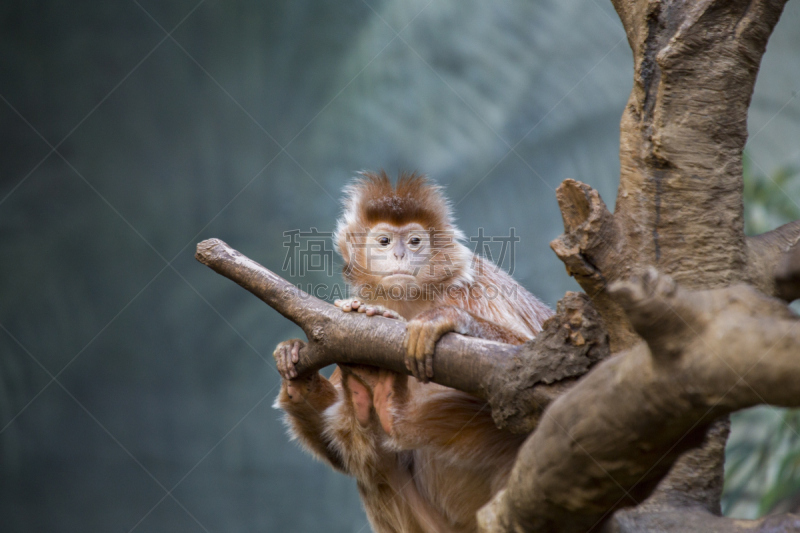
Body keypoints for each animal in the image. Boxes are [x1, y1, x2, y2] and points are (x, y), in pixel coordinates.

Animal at [276, 172, 552, 528]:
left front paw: (446, 318)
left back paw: (395, 410)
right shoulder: (350, 332)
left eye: (414, 241)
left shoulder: (477, 289)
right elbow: (337, 456)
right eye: (384, 241)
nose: (399, 256)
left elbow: (539, 364)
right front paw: (298, 373)